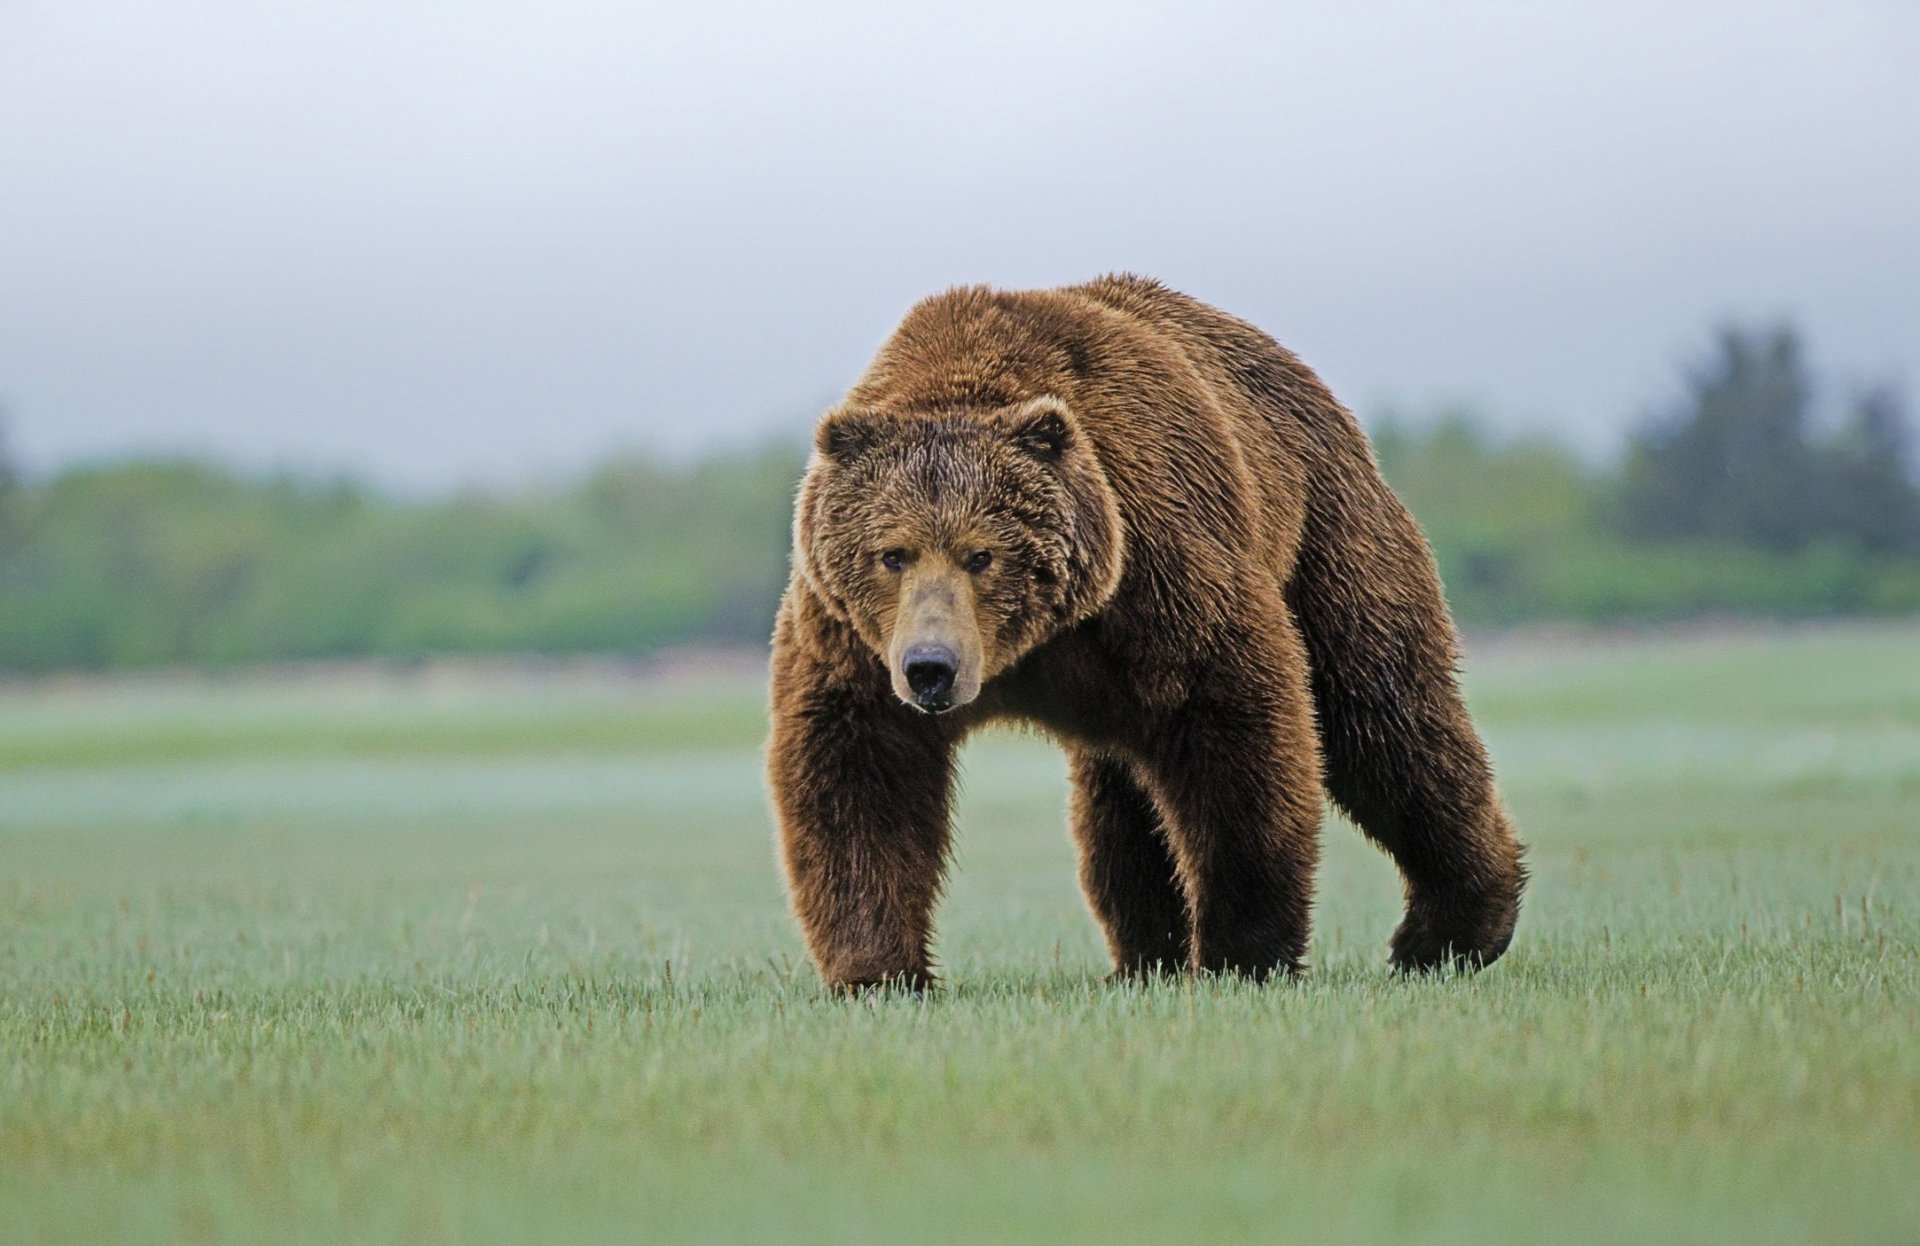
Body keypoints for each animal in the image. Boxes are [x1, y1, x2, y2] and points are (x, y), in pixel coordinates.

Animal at [768, 274, 1525, 991]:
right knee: (1121, 803)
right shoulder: (854, 640)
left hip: (1327, 535)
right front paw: (879, 970)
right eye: (892, 553)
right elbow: (860, 774)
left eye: (982, 554)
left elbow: (1239, 735)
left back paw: (1449, 932)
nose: (932, 667)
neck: (1034, 645)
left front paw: (1242, 953)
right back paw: (1144, 956)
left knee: (1384, 717)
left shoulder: (1160, 570)